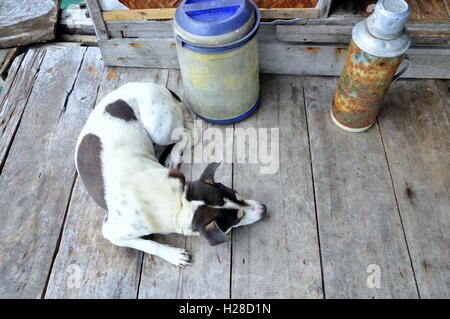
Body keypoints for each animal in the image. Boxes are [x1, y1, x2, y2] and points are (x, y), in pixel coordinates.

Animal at [74, 83, 268, 268]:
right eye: (237, 220)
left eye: (238, 195)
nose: (264, 208)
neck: (178, 202)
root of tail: (156, 85)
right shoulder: (111, 233)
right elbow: (148, 244)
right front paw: (173, 255)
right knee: (187, 131)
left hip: (159, 130)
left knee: (187, 133)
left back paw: (173, 156)